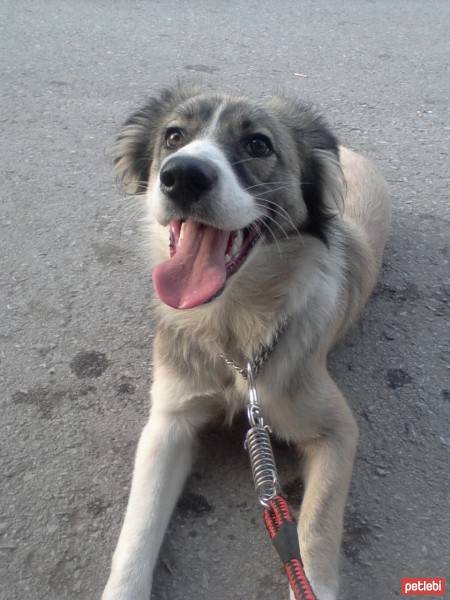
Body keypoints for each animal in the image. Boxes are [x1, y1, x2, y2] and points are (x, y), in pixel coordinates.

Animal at [102, 84, 390, 600]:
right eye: (173, 136)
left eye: (258, 144)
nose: (183, 176)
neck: (233, 331)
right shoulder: (169, 421)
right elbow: (137, 529)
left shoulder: (337, 432)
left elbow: (317, 527)